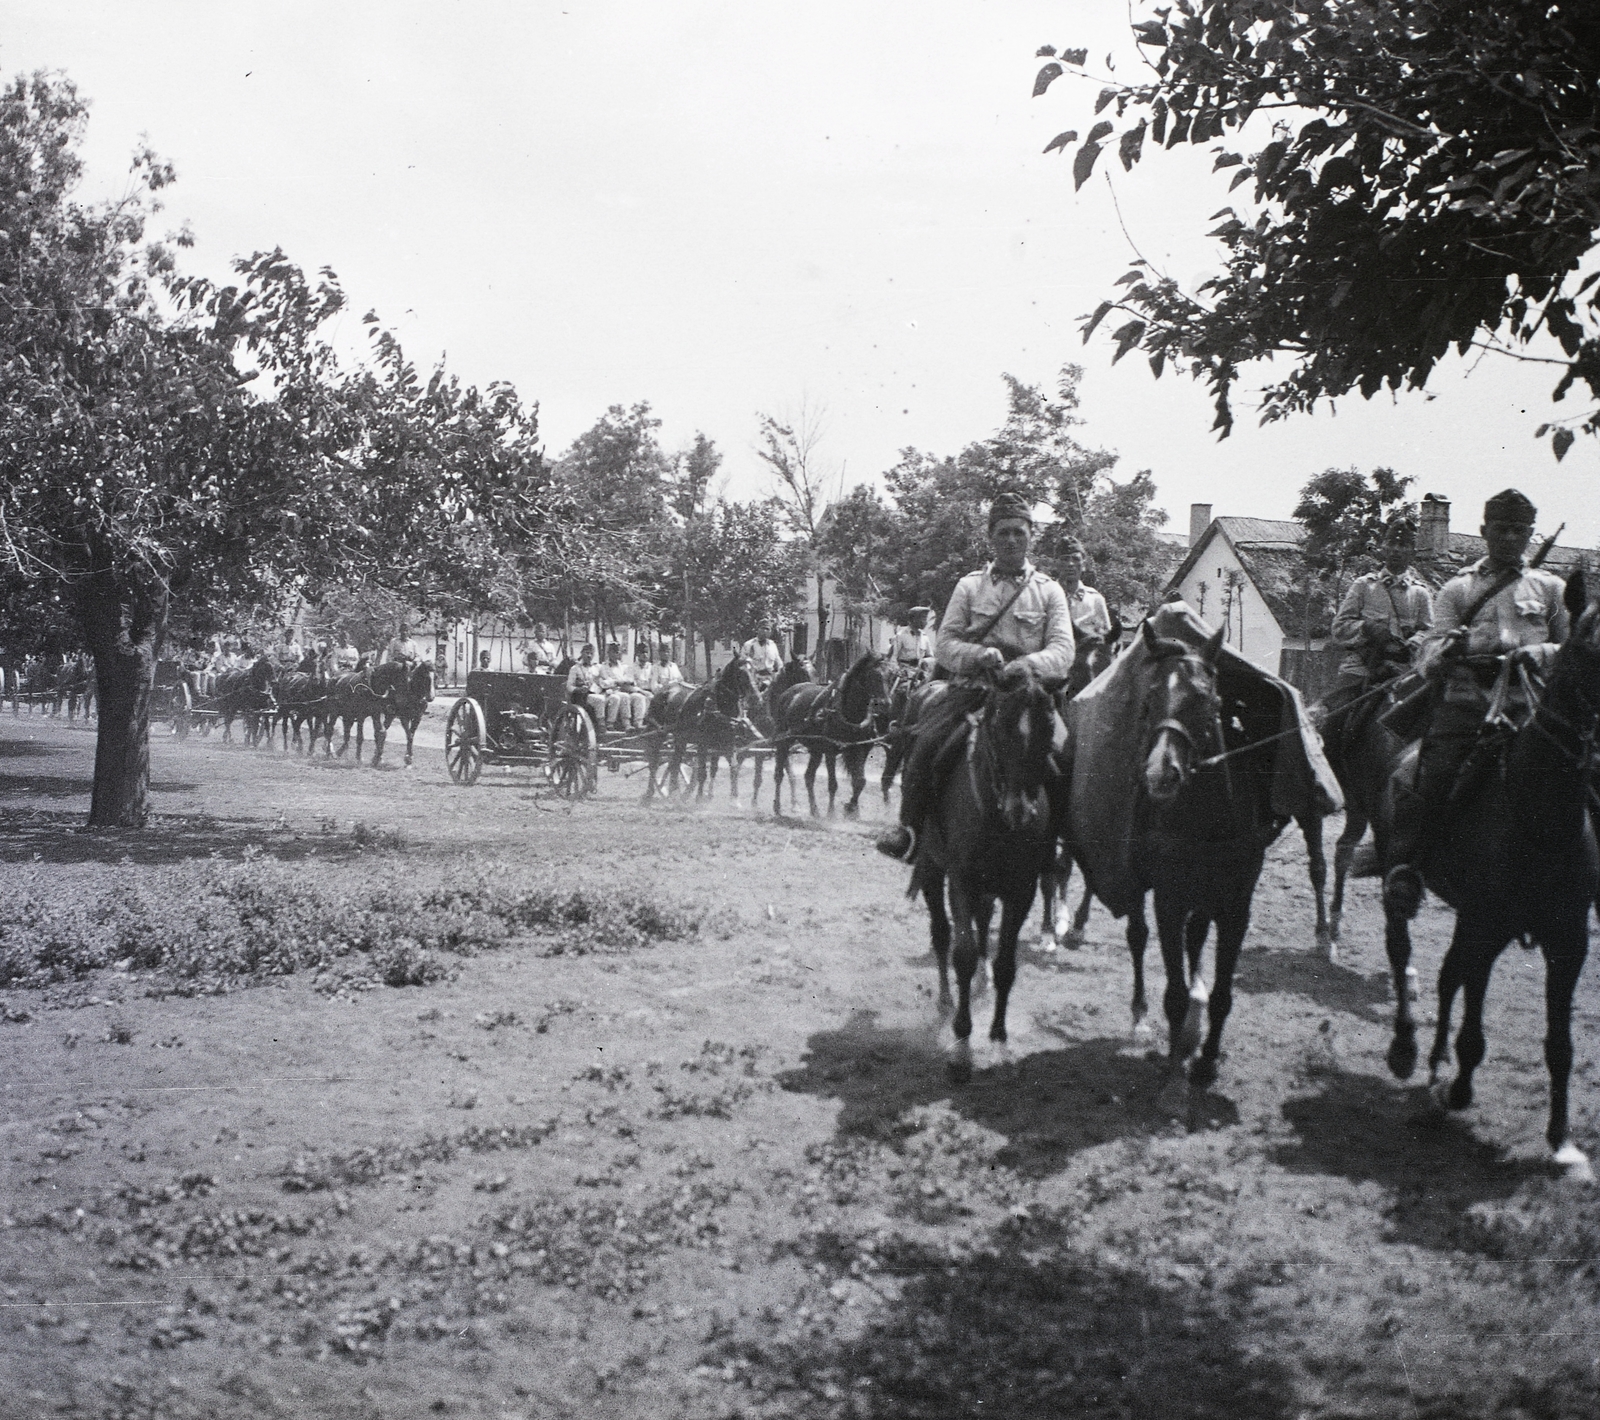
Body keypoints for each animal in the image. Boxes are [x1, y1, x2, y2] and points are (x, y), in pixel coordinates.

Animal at [768, 652, 896, 815]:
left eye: (891, 674)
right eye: (873, 675)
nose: (885, 703)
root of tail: (787, 693)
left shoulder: (862, 748)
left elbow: (860, 781)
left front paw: (851, 809)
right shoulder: (830, 750)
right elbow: (833, 784)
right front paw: (831, 813)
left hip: (816, 748)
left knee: (809, 776)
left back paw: (814, 810)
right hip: (784, 741)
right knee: (779, 773)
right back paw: (777, 806)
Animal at [1376, 572, 1600, 1170]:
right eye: (1584, 651)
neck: (1540, 818)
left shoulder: (1567, 939)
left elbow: (1560, 1044)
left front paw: (1562, 1141)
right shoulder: (1485, 924)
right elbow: (1473, 1025)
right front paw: (1457, 1089)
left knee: (1449, 974)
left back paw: (1435, 1063)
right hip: (1403, 883)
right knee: (1404, 949)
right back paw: (1408, 1050)